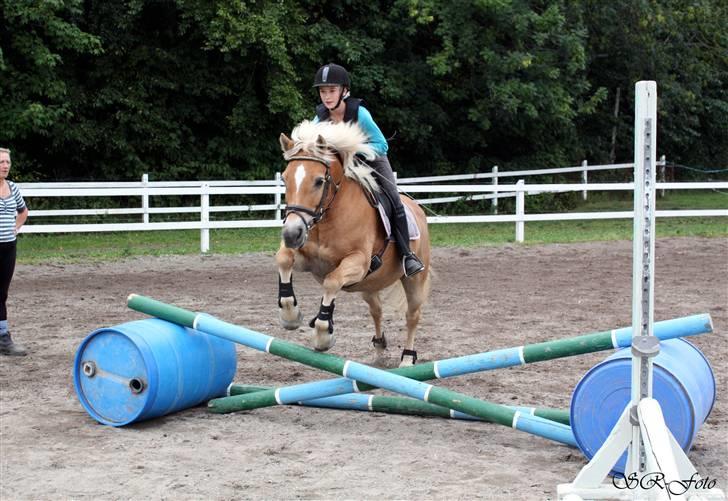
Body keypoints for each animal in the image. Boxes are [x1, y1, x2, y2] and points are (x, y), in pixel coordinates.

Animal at [276, 119, 430, 366]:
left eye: (319, 181)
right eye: (285, 179)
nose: (291, 234)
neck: (328, 217)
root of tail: (416, 208)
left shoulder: (358, 263)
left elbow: (331, 282)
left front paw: (322, 336)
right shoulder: (309, 260)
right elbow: (283, 259)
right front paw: (290, 315)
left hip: (413, 279)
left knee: (412, 315)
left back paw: (407, 359)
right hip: (369, 285)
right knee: (376, 310)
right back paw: (379, 350)